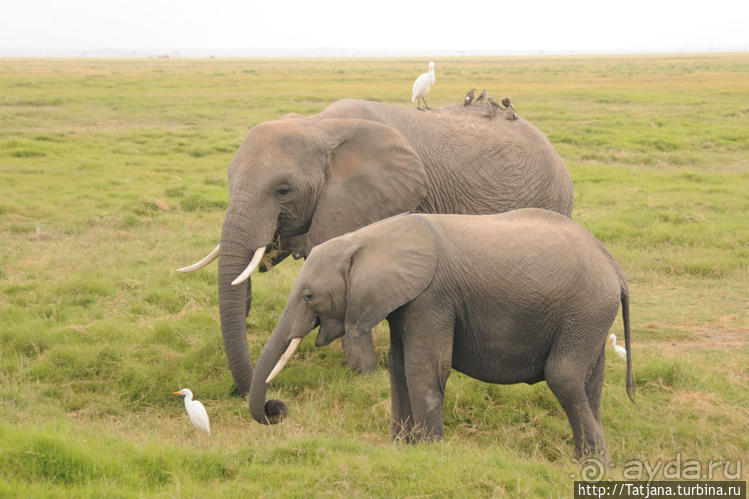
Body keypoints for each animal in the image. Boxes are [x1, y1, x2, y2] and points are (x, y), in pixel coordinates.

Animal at [250, 209, 632, 458]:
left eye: (308, 296)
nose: (276, 409)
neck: (367, 239)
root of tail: (615, 267)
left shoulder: (432, 298)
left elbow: (425, 368)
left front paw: (429, 451)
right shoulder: (405, 301)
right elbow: (399, 365)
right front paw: (402, 447)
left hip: (584, 312)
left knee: (563, 376)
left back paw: (593, 463)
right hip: (590, 319)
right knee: (589, 382)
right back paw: (584, 457)